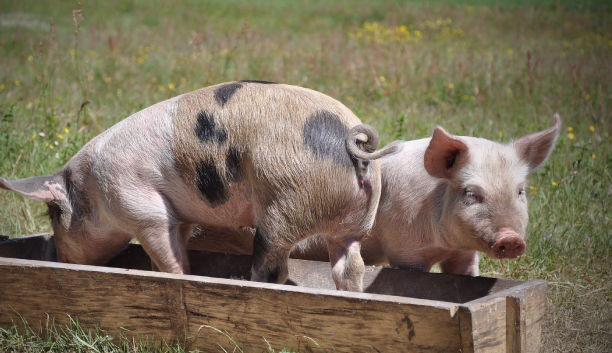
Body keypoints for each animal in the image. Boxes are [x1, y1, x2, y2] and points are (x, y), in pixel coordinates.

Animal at [0, 81, 400, 290]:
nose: (60, 257)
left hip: (284, 207)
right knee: (350, 267)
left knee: (273, 267)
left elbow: (168, 255)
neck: (93, 190)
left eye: (53, 213)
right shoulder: (182, 214)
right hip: (353, 226)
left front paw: (180, 278)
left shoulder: (141, 208)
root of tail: (354, 142)